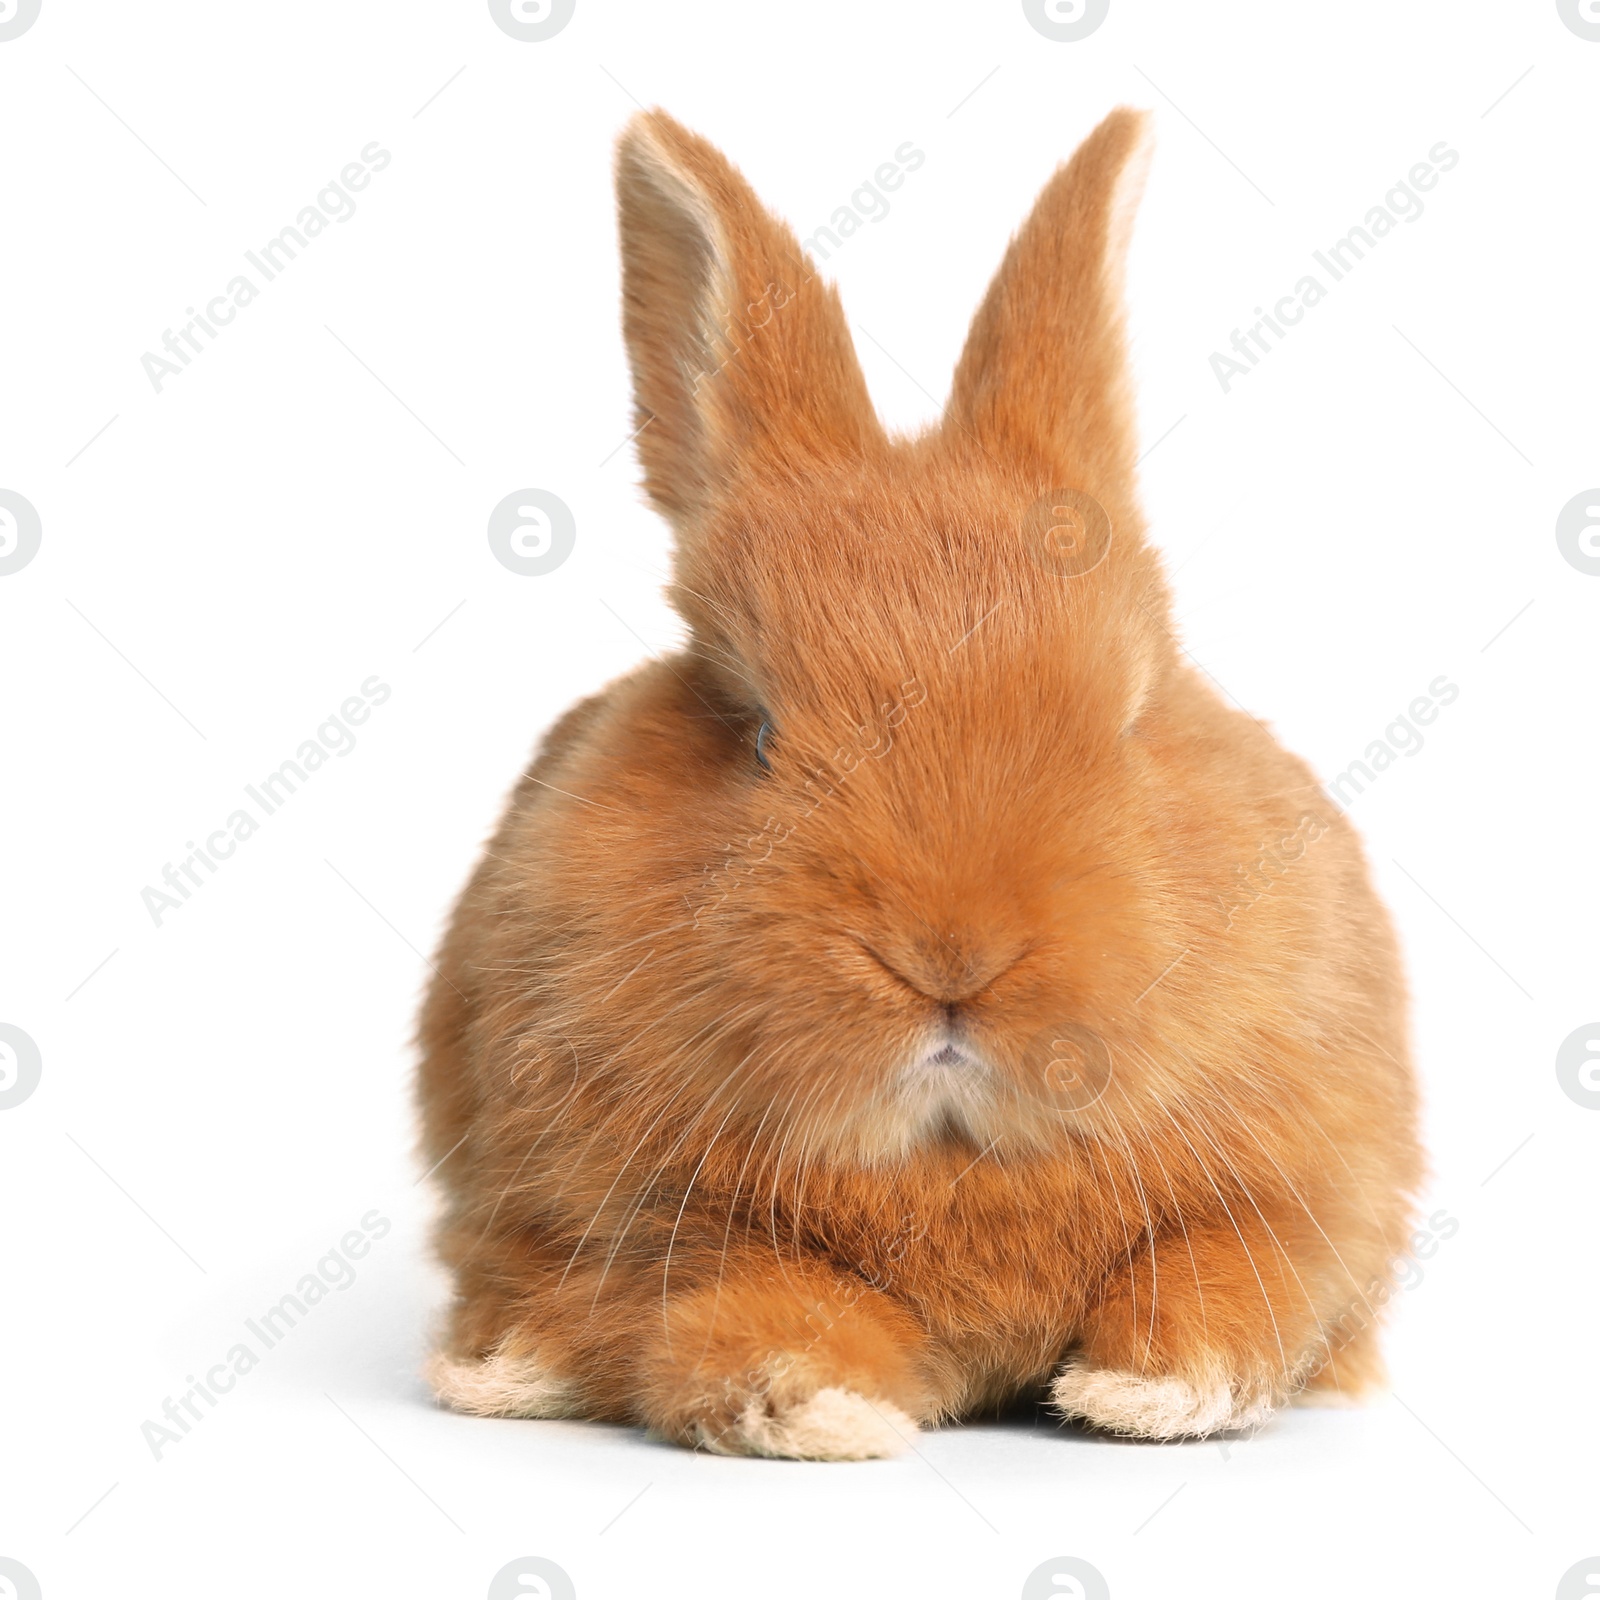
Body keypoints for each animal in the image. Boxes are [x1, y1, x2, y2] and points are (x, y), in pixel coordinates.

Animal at [416, 106, 1427, 1465]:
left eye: (1130, 714)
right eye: (755, 730)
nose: (952, 959)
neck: (953, 1157)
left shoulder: (1305, 1191)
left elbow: (1230, 1282)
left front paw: (1147, 1391)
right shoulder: (618, 1234)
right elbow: (745, 1307)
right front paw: (821, 1408)